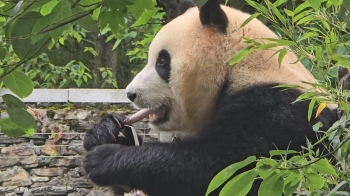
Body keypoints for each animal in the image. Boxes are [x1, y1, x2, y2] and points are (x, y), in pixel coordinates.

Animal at [83, 0, 338, 196]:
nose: (131, 93)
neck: (240, 65)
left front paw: (105, 158)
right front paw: (107, 132)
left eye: (162, 62)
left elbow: (220, 169)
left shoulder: (280, 110)